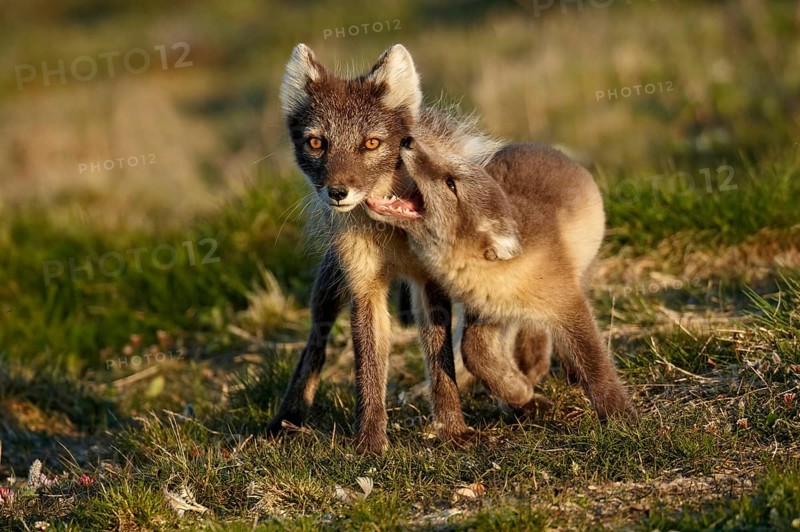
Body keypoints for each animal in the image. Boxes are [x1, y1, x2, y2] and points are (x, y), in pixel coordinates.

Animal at [368, 139, 631, 418]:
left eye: (451, 184)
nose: (408, 141)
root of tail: (543, 145)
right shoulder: (486, 311)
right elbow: (473, 354)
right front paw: (520, 392)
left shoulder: (567, 303)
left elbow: (595, 363)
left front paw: (619, 414)